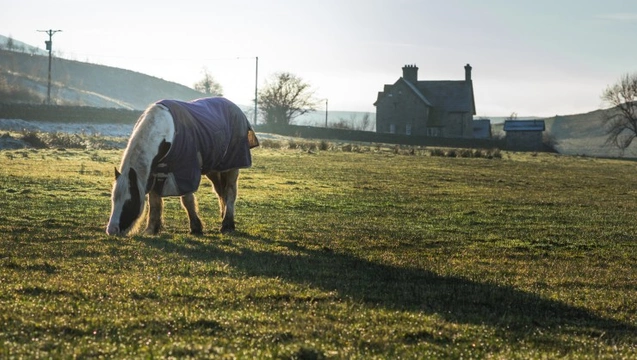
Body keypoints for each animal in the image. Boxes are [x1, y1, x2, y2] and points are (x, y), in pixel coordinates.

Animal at [107, 96, 258, 236]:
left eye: (129, 201)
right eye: (113, 199)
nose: (112, 230)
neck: (166, 132)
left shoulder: (185, 171)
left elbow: (187, 200)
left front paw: (196, 228)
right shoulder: (155, 173)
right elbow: (154, 202)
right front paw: (151, 230)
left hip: (233, 166)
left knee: (230, 192)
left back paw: (227, 224)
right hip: (214, 170)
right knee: (221, 192)